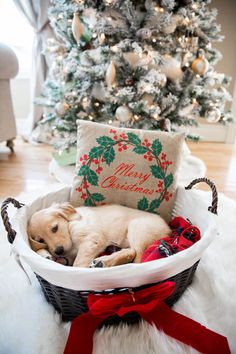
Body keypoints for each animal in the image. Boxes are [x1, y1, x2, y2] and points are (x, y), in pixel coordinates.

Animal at [27, 203, 171, 266]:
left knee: (137, 258)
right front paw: (45, 254)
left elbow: (78, 263)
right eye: (40, 240)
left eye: (55, 228)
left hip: (137, 228)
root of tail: (169, 230)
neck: (69, 225)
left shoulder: (93, 239)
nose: (59, 251)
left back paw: (103, 262)